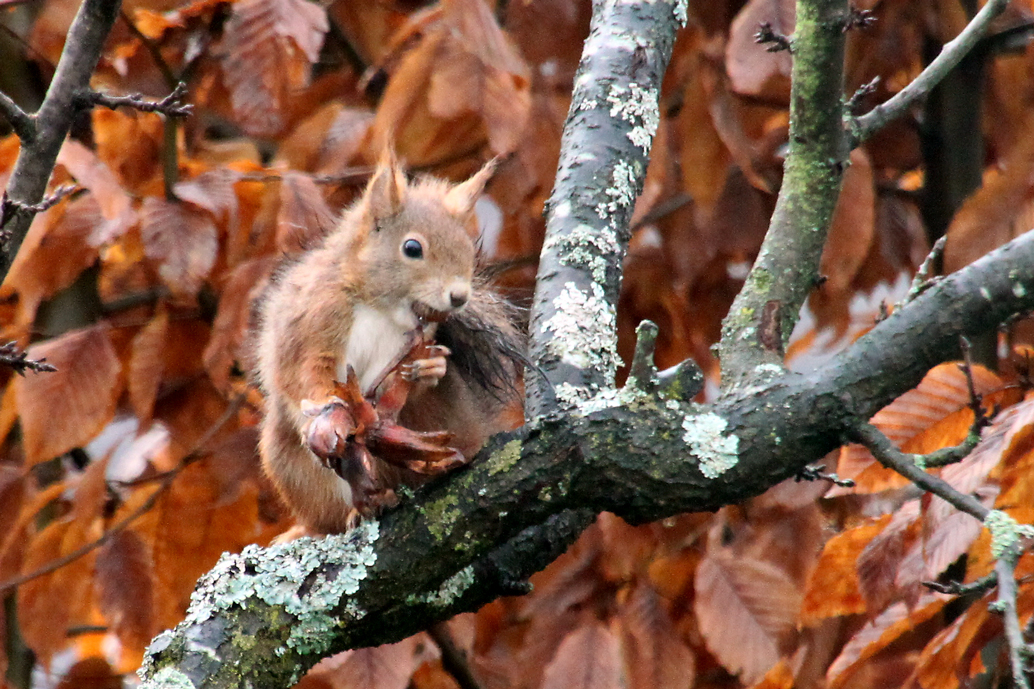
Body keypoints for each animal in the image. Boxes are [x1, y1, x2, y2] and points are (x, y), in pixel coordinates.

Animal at [251, 153, 525, 533]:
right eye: (412, 248)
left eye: (469, 250)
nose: (458, 297)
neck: (379, 307)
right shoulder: (312, 323)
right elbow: (305, 372)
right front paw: (324, 400)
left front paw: (431, 366)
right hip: (289, 464)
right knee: (325, 518)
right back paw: (343, 516)